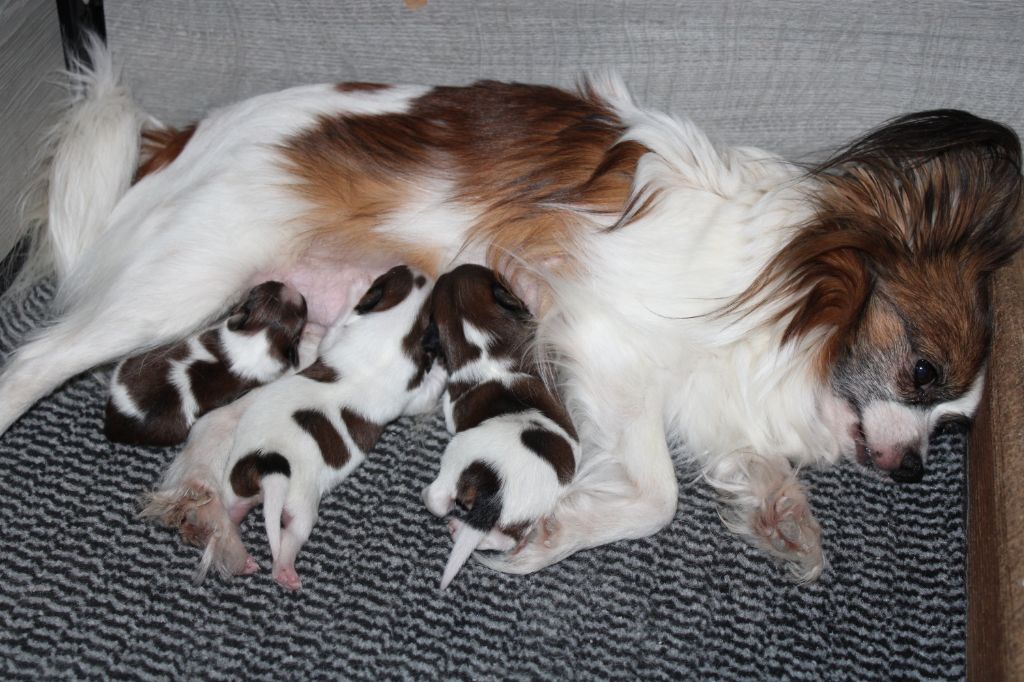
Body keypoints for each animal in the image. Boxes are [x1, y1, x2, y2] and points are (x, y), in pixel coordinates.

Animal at [218, 266, 442, 589]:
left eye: (386, 278)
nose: (416, 269)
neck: (389, 328)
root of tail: (269, 465)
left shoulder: (338, 338)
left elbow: (334, 330)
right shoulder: (412, 393)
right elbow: (427, 393)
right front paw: (442, 369)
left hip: (235, 484)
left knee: (230, 515)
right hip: (299, 505)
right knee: (291, 535)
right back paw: (284, 570)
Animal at [415, 262, 577, 585]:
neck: (484, 349)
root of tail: (495, 488)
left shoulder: (453, 409)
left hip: (457, 453)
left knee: (439, 498)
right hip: (524, 514)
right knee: (507, 539)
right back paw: (464, 530)